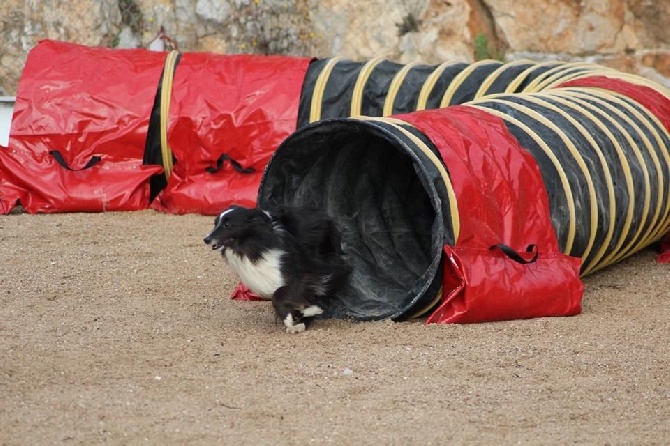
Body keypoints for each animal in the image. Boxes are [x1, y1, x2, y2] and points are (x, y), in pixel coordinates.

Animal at [203, 205, 352, 332]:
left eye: (227, 225)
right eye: (215, 223)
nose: (206, 239)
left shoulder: (306, 273)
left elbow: (279, 294)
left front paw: (294, 318)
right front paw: (298, 315)